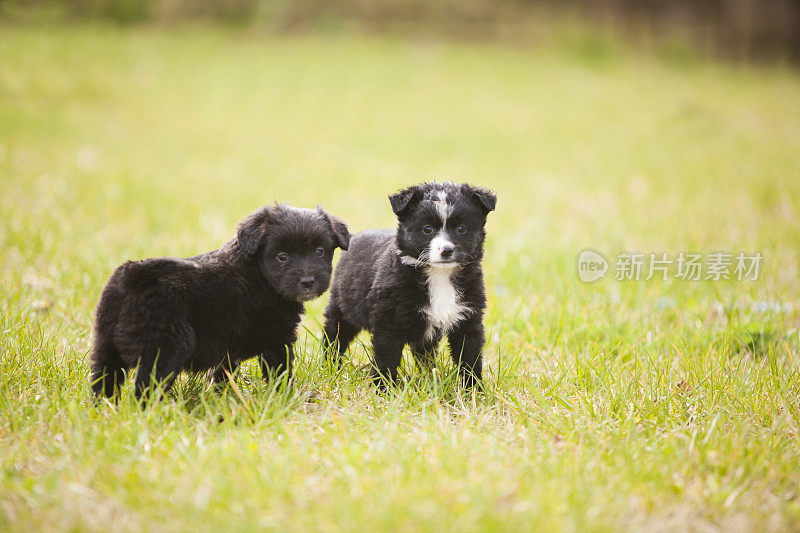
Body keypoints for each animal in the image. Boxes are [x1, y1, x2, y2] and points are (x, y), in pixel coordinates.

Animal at [89, 204, 348, 400]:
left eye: (319, 251)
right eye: (282, 257)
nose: (308, 281)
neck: (257, 274)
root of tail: (133, 275)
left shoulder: (229, 350)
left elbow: (223, 376)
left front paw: (220, 397)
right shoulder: (277, 339)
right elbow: (280, 372)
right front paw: (285, 397)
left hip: (105, 346)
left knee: (104, 379)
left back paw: (104, 408)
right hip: (165, 350)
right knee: (145, 390)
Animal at [322, 182, 496, 386]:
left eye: (461, 228)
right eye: (427, 229)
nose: (446, 250)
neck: (439, 275)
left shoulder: (468, 319)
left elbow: (470, 359)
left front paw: (474, 389)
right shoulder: (388, 322)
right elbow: (386, 359)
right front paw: (383, 389)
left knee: (425, 354)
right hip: (342, 310)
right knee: (334, 337)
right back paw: (330, 367)